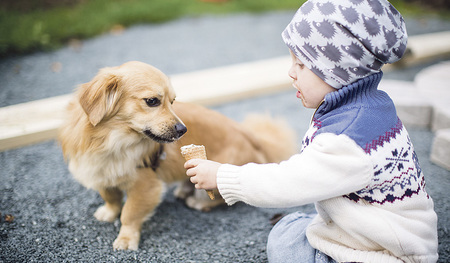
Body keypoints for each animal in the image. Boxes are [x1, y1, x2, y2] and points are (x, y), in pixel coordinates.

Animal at [59, 61, 298, 252]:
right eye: (152, 101)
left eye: (172, 102)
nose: (183, 130)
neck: (111, 141)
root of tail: (250, 136)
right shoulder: (100, 173)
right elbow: (111, 197)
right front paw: (108, 213)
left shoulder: (145, 185)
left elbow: (129, 213)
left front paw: (126, 239)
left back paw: (197, 201)